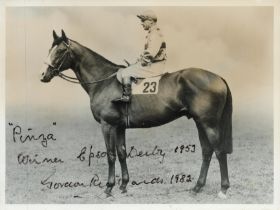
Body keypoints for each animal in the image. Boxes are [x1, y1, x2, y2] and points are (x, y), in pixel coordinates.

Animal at [40, 30, 232, 199]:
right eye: (50, 50)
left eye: (61, 50)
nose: (43, 75)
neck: (104, 81)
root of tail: (218, 77)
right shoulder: (119, 127)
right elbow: (122, 153)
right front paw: (123, 186)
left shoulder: (107, 125)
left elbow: (110, 155)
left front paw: (108, 188)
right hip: (200, 123)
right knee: (207, 151)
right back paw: (197, 187)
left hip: (209, 124)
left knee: (219, 151)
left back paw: (223, 189)